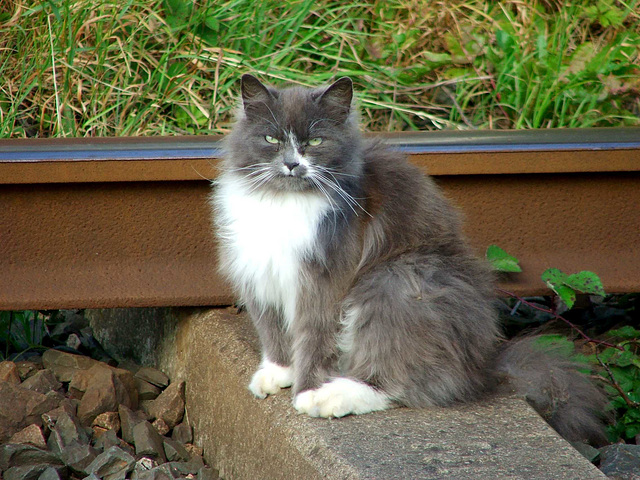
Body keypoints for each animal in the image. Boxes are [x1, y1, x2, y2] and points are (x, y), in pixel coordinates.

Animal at [212, 74, 608, 446]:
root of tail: (486, 367)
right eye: (271, 139)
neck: (283, 201)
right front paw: (278, 373)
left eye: (316, 142)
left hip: (396, 282)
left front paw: (305, 390)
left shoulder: (324, 279)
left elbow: (314, 338)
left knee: (399, 381)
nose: (292, 163)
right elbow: (272, 329)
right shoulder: (259, 273)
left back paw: (331, 398)